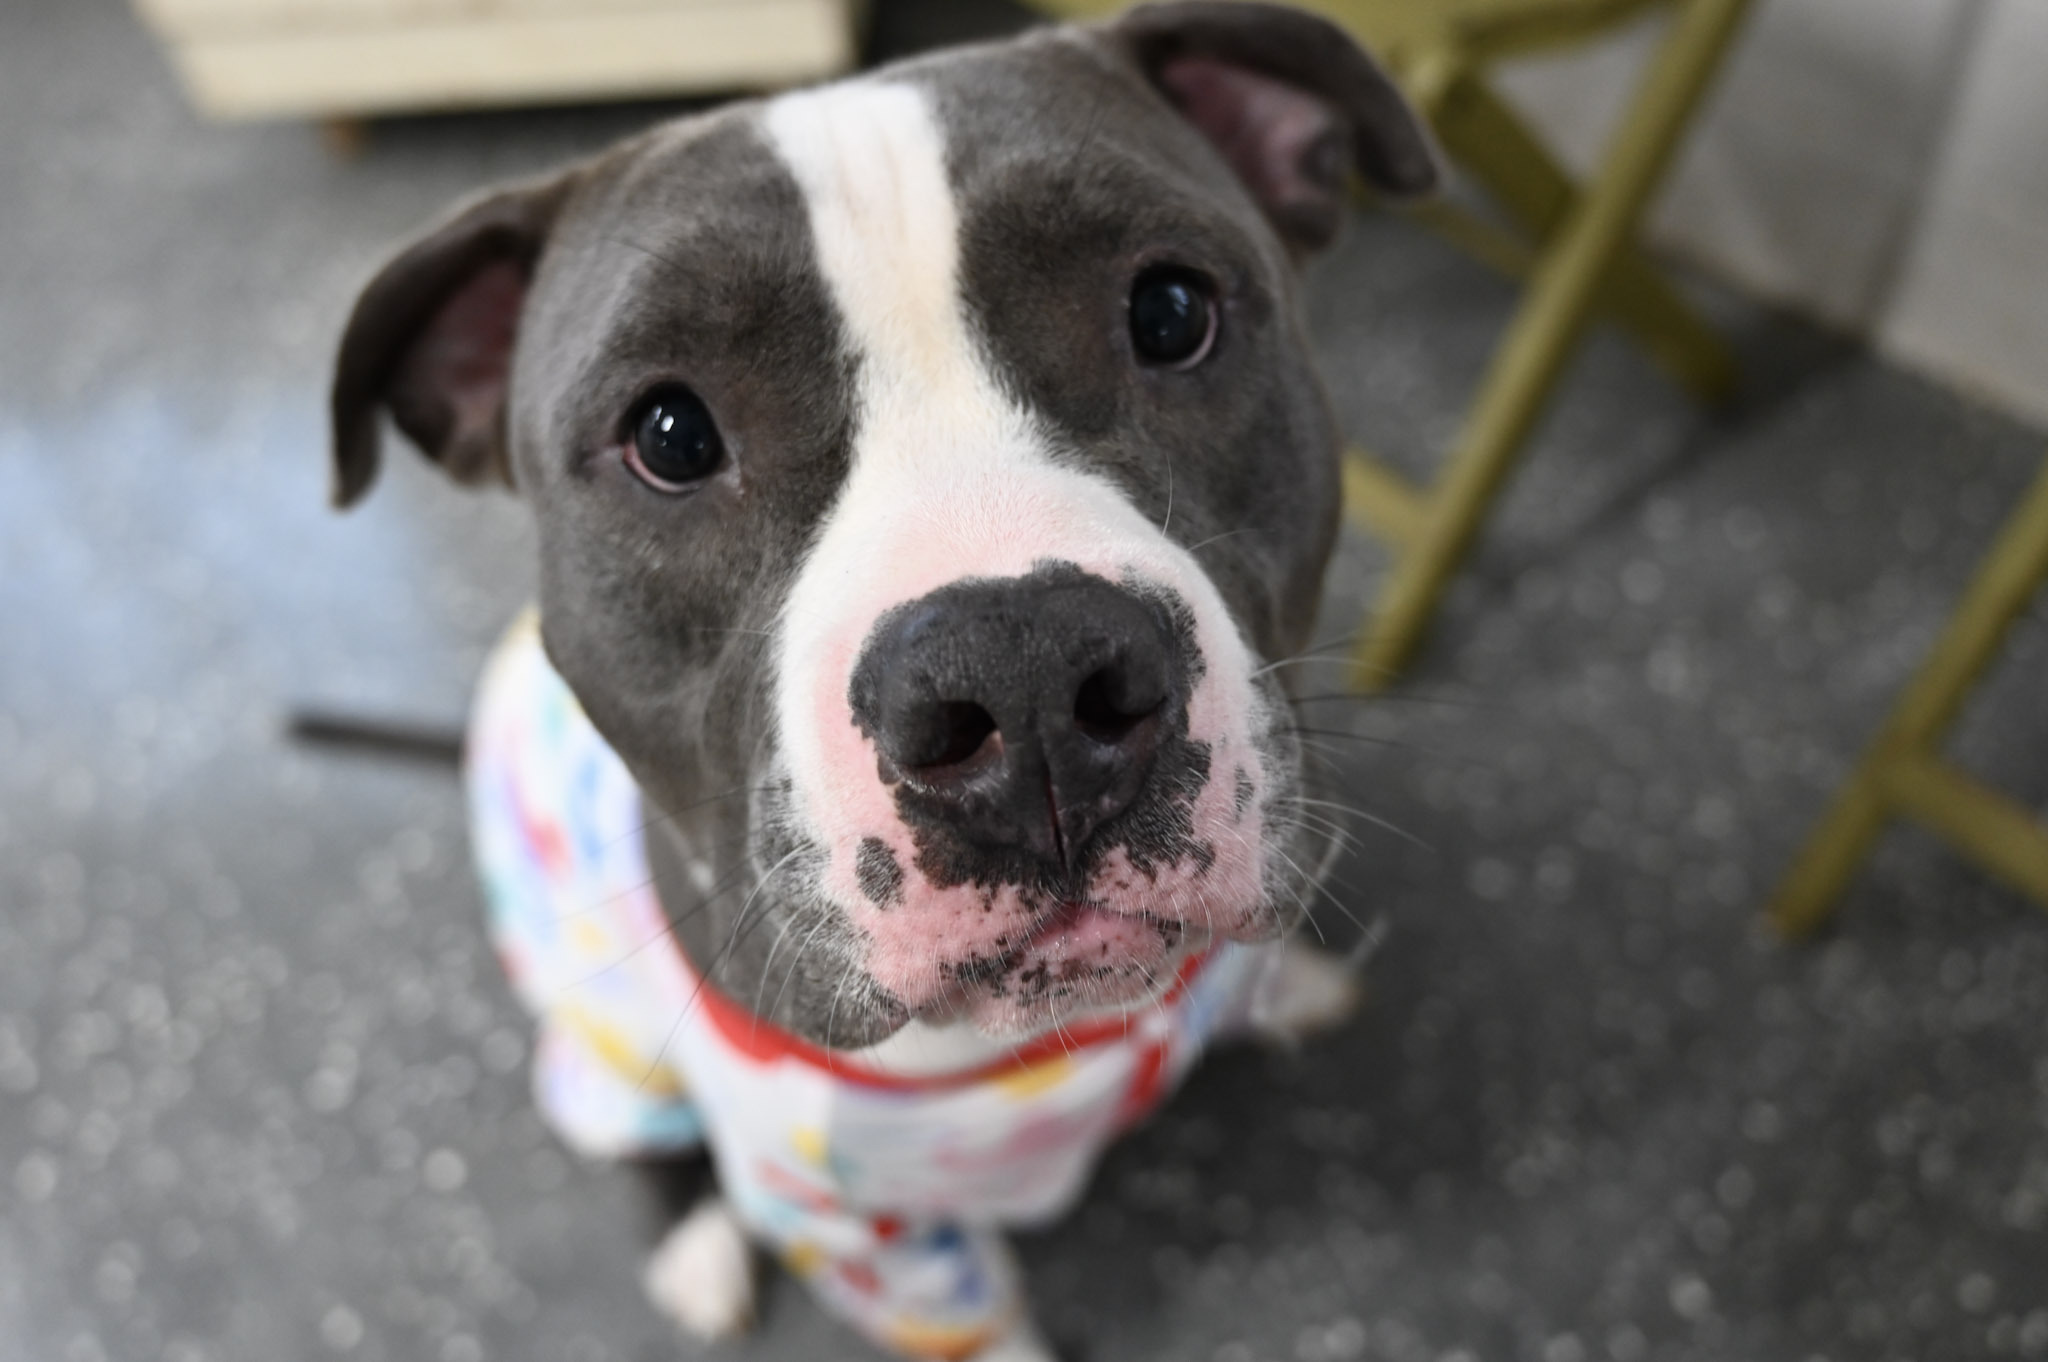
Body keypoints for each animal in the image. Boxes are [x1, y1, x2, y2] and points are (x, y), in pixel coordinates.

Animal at [327, 5, 1433, 1351]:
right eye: (668, 436)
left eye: (1170, 311)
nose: (1021, 678)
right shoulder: (863, 1238)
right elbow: (977, 1323)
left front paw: (1272, 988)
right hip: (604, 1059)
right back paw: (696, 1249)